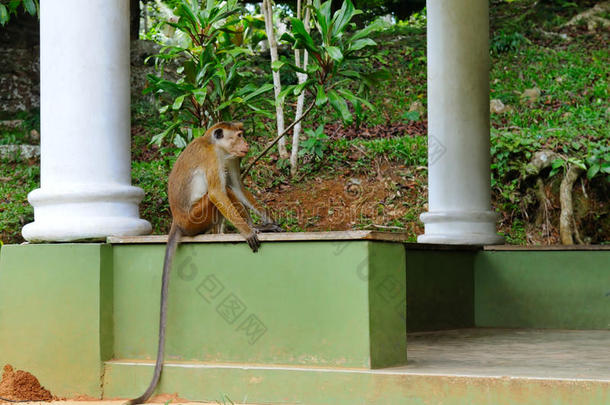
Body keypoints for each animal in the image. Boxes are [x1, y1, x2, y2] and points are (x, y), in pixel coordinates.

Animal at [129, 120, 282, 404]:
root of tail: (177, 221)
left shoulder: (232, 158)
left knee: (229, 190)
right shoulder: (212, 158)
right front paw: (248, 231)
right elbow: (218, 193)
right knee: (217, 194)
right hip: (194, 218)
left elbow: (237, 187)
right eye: (239, 135)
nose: (246, 144)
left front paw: (268, 222)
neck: (216, 145)